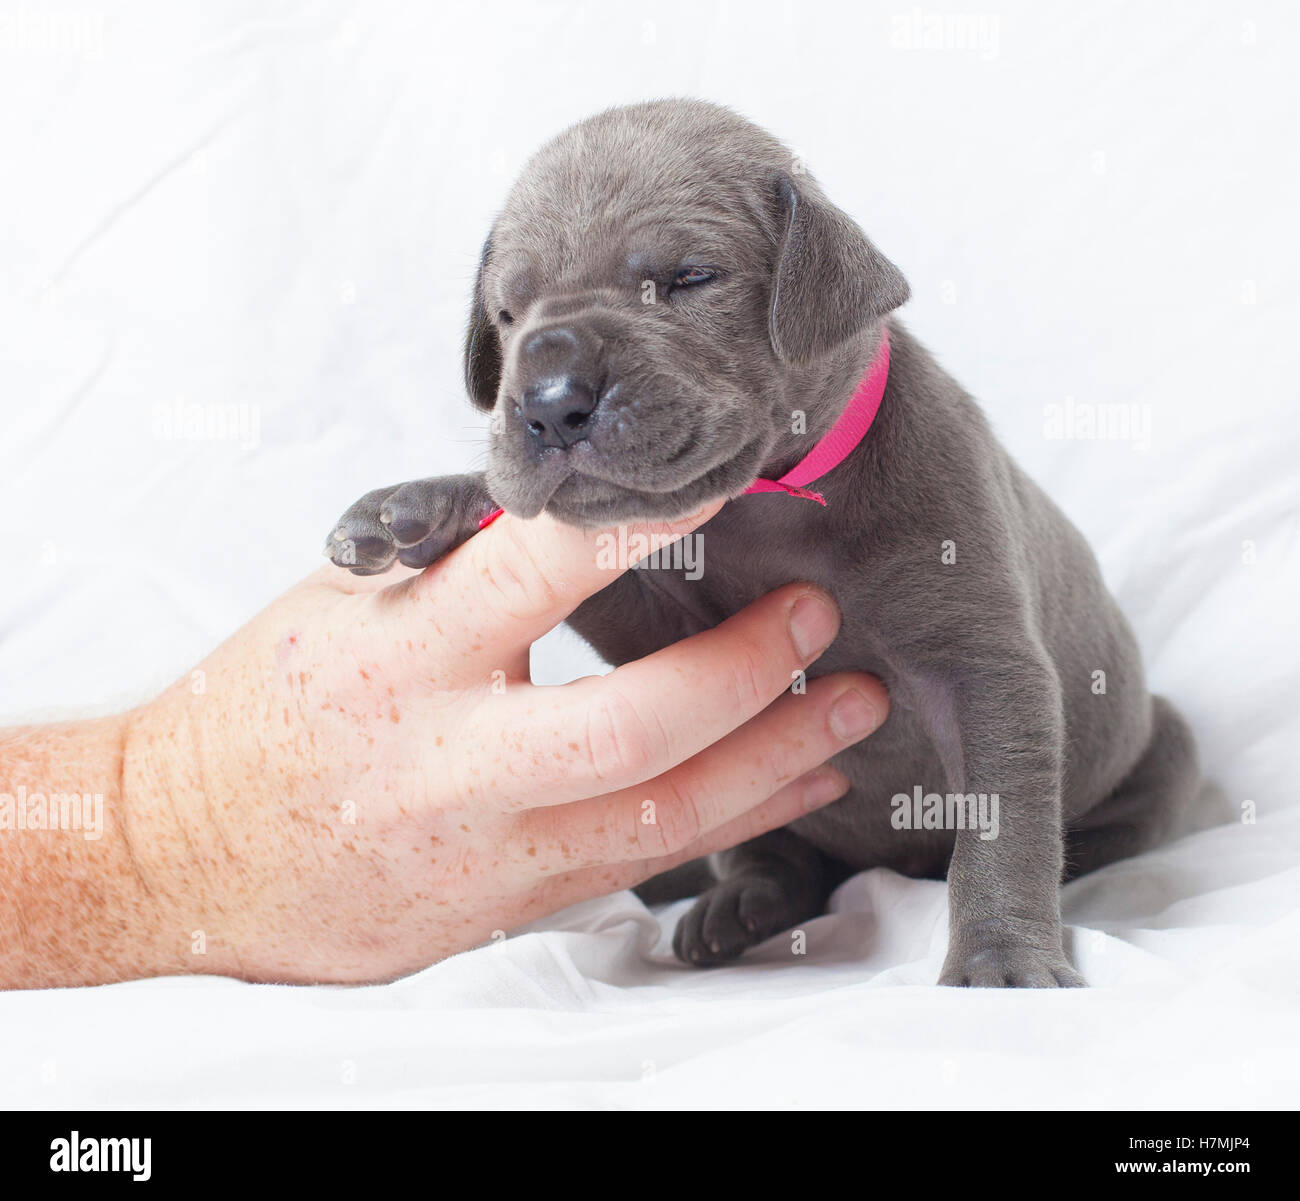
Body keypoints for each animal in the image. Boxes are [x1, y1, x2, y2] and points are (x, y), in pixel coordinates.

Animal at [322, 100, 1196, 982]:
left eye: (689, 278)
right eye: (507, 313)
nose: (548, 399)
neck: (767, 506)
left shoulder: (981, 663)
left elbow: (1001, 820)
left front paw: (1001, 956)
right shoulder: (665, 632)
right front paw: (421, 507)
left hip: (1163, 743)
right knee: (780, 859)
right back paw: (740, 906)